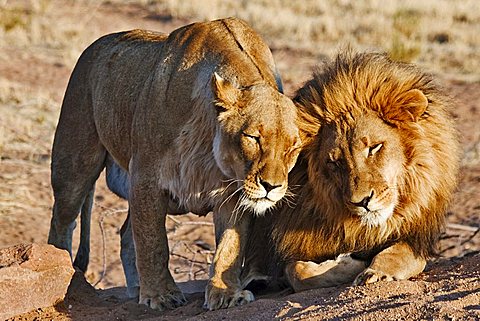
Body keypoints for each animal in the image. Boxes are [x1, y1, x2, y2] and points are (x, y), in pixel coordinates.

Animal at [47, 18, 300, 310]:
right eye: (253, 138)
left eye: (292, 147)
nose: (272, 186)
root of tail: (97, 44)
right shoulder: (145, 177)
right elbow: (153, 242)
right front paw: (161, 295)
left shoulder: (233, 191)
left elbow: (230, 246)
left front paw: (226, 293)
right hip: (74, 162)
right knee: (62, 223)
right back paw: (66, 277)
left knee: (125, 234)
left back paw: (136, 289)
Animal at [253, 51, 460, 292]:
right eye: (335, 162)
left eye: (374, 148)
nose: (362, 202)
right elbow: (297, 272)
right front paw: (350, 264)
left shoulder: (415, 240)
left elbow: (397, 255)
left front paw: (375, 272)